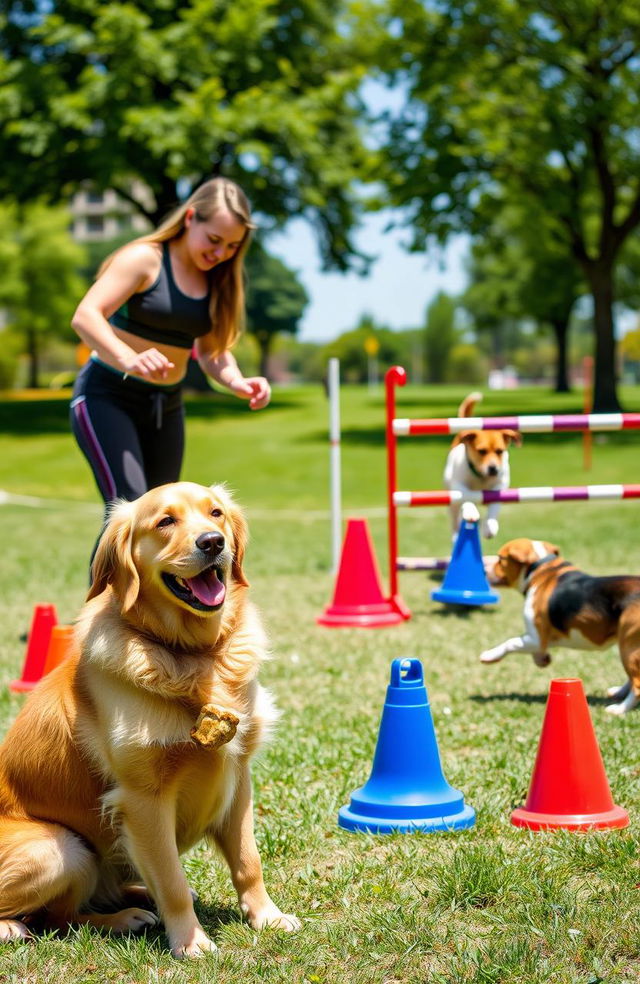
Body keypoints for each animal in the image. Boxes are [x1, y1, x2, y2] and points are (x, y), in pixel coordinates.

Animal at [444, 392, 520, 540]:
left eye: (499, 451)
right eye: (481, 451)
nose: (493, 468)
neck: (481, 477)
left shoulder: (500, 486)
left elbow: (494, 506)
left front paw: (489, 526)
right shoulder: (458, 485)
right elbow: (467, 496)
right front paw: (470, 512)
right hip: (452, 500)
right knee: (455, 520)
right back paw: (456, 534)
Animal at [482, 540, 640, 716]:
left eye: (500, 558)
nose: (483, 563)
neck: (542, 568)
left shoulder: (536, 638)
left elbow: (511, 642)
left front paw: (490, 655)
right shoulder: (546, 638)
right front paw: (542, 659)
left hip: (628, 646)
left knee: (637, 685)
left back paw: (620, 708)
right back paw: (619, 692)